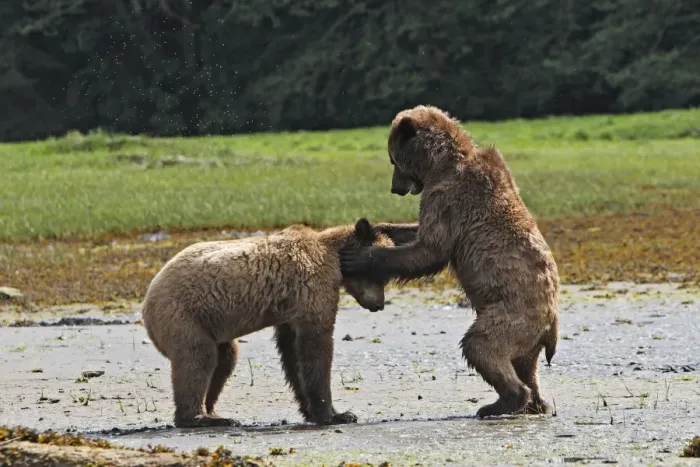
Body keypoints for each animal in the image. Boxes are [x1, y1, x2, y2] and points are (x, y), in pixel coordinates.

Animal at [141, 218, 415, 428]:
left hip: (210, 325)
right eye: (379, 274)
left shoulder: (290, 311)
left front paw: (317, 411)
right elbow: (316, 348)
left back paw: (213, 411)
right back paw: (202, 418)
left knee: (225, 359)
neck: (333, 259)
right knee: (197, 360)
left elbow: (293, 355)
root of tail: (146, 304)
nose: (379, 304)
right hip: (185, 316)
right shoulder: (313, 290)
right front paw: (335, 414)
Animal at [340, 105, 560, 418]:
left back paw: (499, 403)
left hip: (512, 313)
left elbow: (429, 250)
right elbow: (415, 232)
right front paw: (379, 228)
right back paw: (536, 403)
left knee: (481, 346)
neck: (440, 165)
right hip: (527, 335)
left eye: (393, 158)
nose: (395, 188)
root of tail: (551, 326)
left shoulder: (448, 201)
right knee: (525, 364)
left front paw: (358, 256)